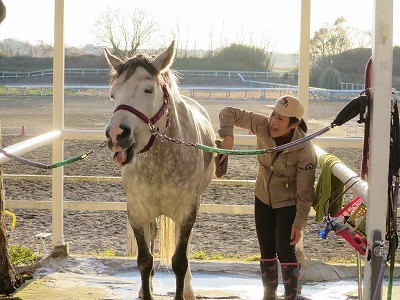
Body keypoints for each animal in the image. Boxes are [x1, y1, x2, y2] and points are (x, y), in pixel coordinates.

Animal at [103, 40, 216, 300]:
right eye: (113, 94)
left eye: (148, 90)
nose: (116, 134)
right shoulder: (137, 212)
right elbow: (145, 260)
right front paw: (146, 291)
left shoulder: (187, 211)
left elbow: (180, 262)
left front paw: (183, 290)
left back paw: (189, 288)